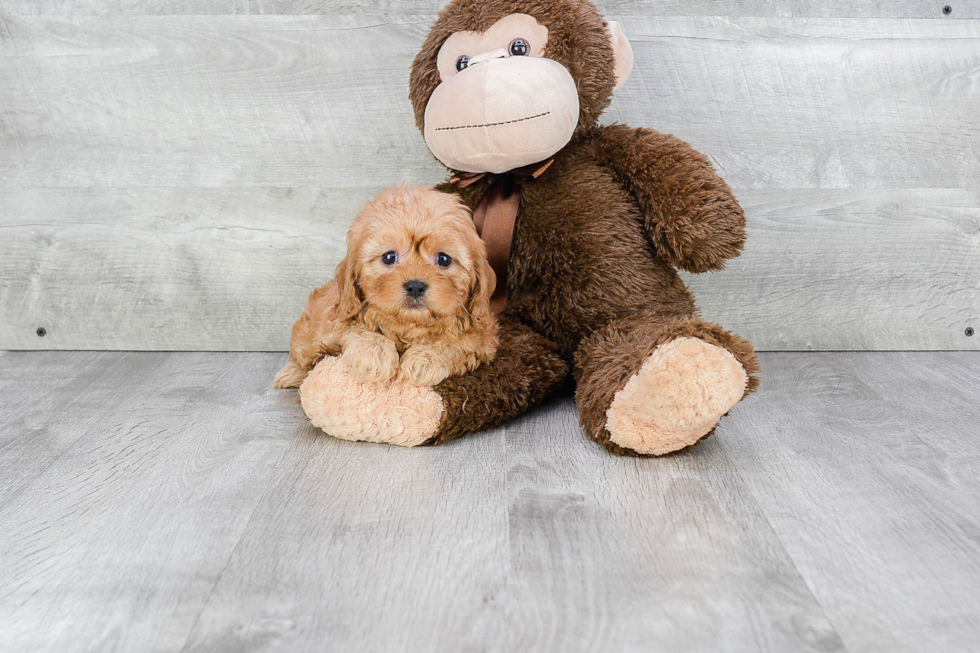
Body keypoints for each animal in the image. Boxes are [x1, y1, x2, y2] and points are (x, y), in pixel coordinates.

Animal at [272, 185, 498, 388]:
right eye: (389, 257)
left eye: (443, 259)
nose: (415, 286)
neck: (409, 327)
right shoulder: (336, 316)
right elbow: (355, 328)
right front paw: (374, 356)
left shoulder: (483, 337)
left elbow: (456, 343)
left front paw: (424, 361)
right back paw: (290, 374)